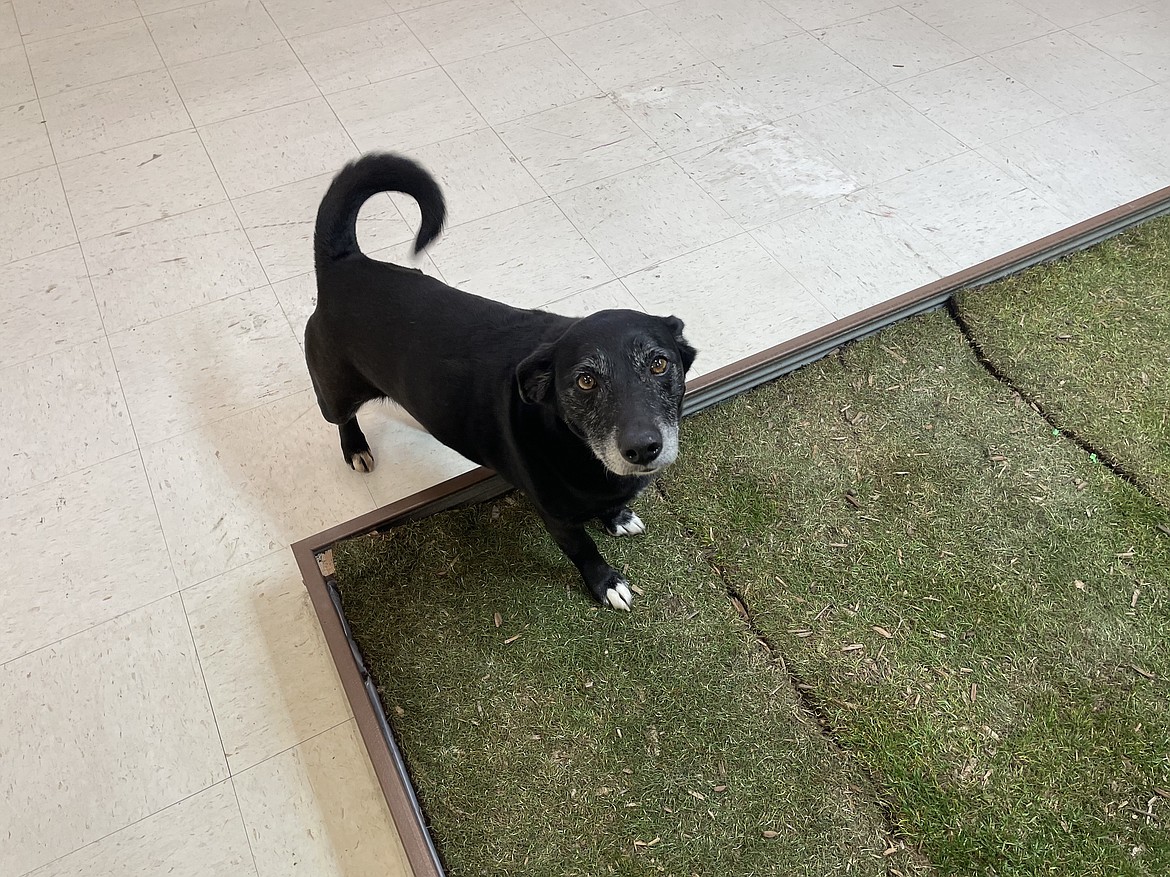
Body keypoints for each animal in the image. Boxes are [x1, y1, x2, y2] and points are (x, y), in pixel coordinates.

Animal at [306, 156, 697, 612]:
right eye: (585, 381)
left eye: (659, 364)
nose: (642, 448)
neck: (574, 444)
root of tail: (343, 264)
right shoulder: (557, 519)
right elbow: (585, 550)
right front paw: (606, 583)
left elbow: (611, 509)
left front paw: (617, 517)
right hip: (334, 390)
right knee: (341, 417)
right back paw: (356, 448)